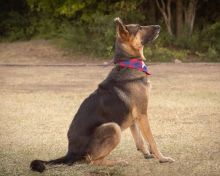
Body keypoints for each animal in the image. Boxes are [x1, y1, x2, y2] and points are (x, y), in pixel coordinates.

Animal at [30, 17, 174, 172]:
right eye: (139, 27)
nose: (159, 26)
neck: (129, 63)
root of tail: (71, 152)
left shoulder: (134, 117)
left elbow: (139, 139)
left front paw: (147, 154)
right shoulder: (142, 114)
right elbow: (152, 140)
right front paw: (162, 158)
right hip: (113, 128)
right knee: (93, 161)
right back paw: (118, 162)